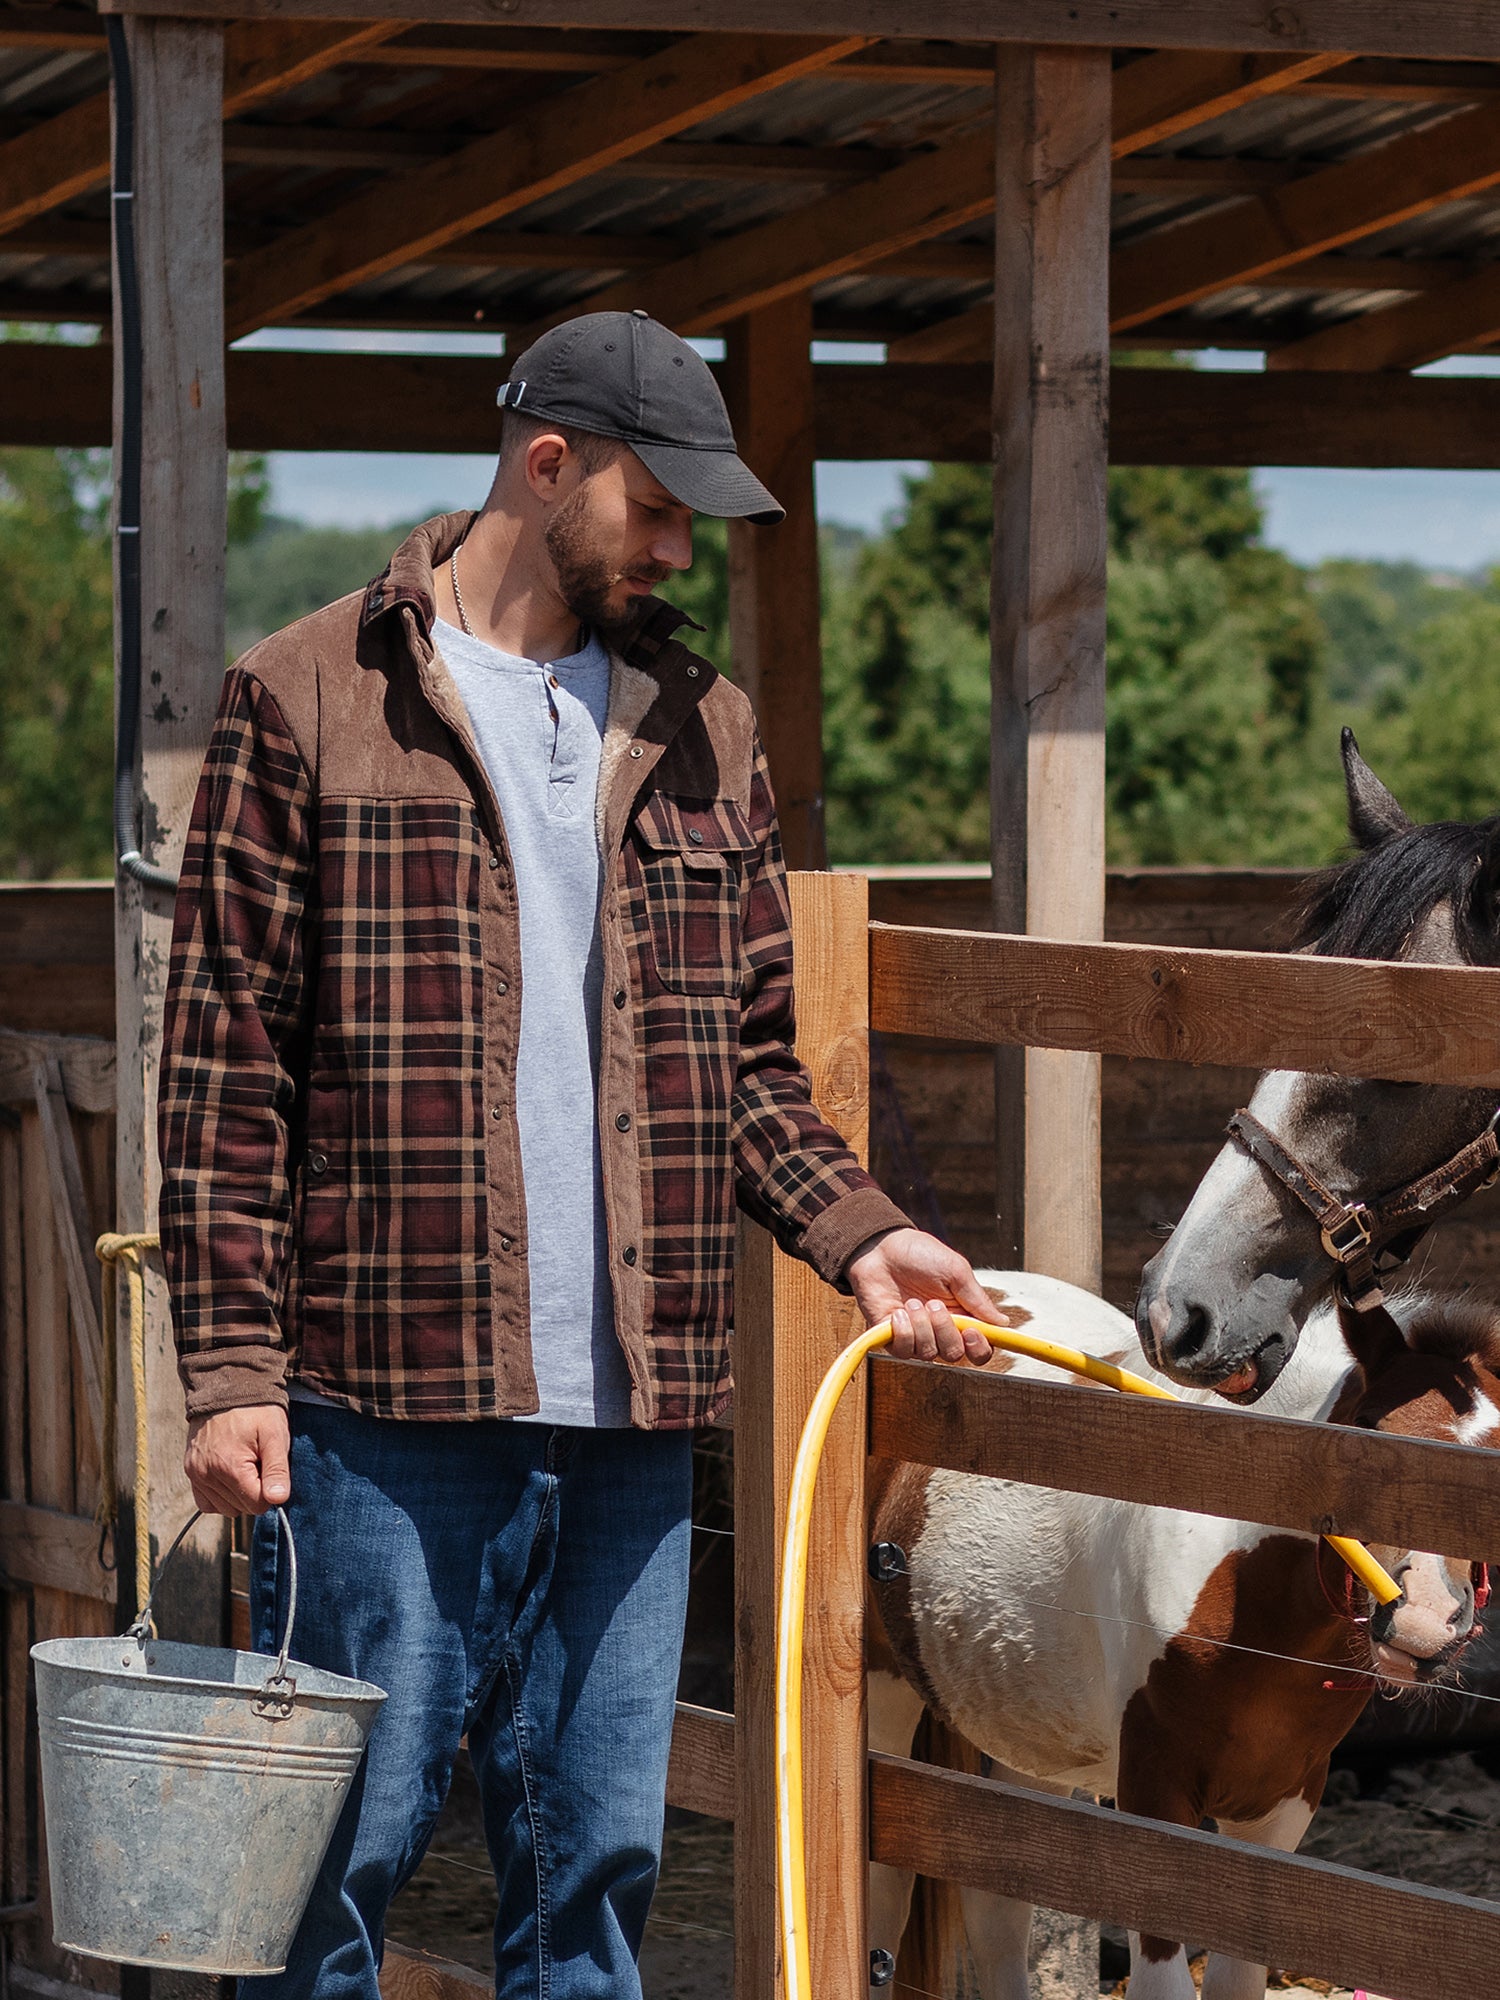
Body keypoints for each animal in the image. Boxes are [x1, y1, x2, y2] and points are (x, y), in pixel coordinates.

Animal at [868, 1272, 1500, 1992]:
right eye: (1367, 1431)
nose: (1425, 1622)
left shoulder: (1280, 1807)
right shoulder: (1154, 1796)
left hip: (1028, 1729)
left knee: (997, 1900)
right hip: (883, 1696)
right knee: (884, 1894)